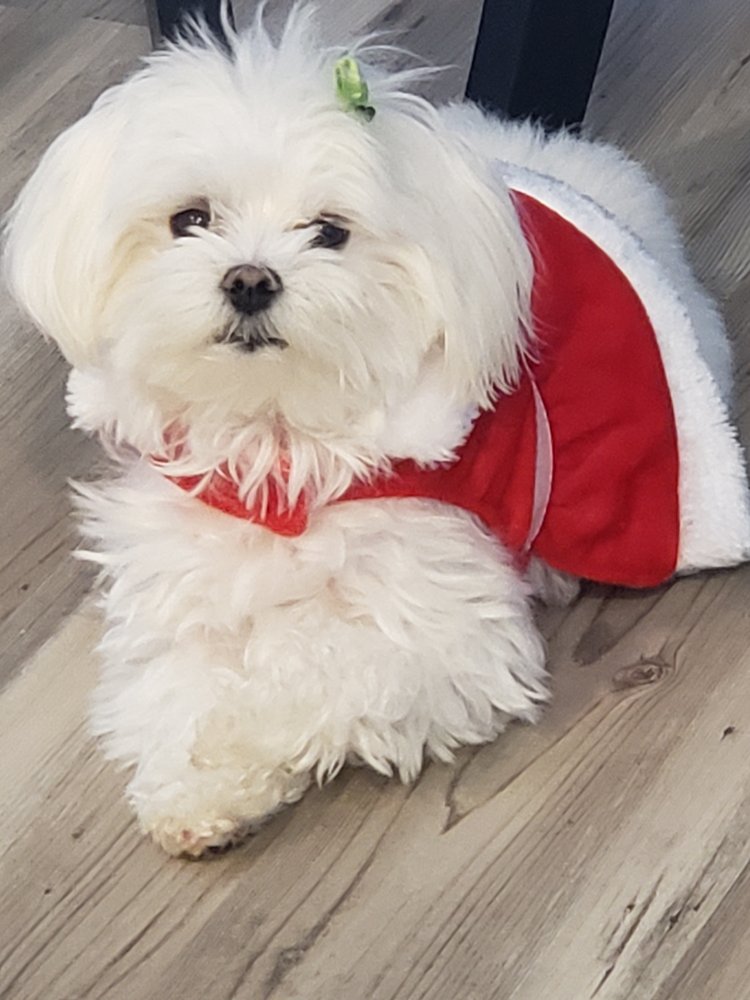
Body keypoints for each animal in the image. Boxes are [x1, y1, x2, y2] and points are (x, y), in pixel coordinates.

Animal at [5, 6, 748, 856]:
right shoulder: (180, 585)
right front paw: (194, 790)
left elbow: (307, 670)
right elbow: (172, 688)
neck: (281, 442)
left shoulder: (444, 630)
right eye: (189, 219)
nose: (250, 280)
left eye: (330, 232)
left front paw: (238, 744)